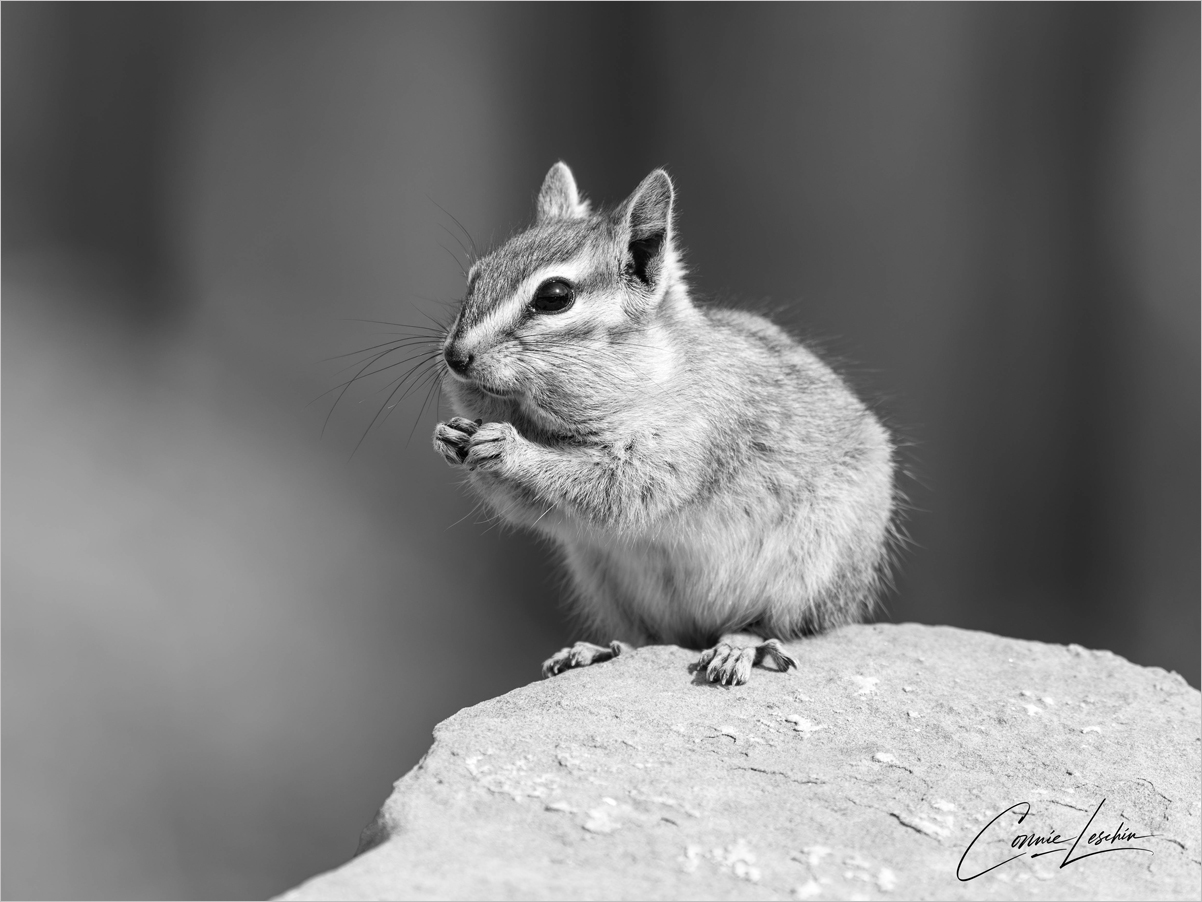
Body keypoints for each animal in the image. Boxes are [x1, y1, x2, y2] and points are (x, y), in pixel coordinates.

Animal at [433, 163, 898, 686]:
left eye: (554, 297)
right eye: (476, 274)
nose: (454, 357)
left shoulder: (687, 444)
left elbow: (618, 490)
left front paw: (510, 447)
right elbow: (532, 508)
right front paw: (450, 436)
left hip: (809, 571)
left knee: (775, 625)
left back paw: (738, 648)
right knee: (650, 639)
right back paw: (598, 650)